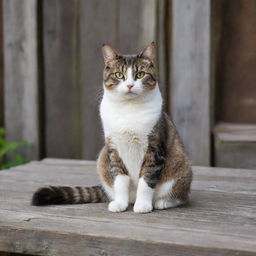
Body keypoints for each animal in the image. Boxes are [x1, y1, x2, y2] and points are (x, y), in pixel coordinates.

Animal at [32, 43, 192, 213]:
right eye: (119, 75)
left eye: (140, 74)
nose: (130, 85)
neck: (128, 108)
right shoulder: (113, 147)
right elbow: (119, 179)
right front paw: (119, 204)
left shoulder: (154, 148)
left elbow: (146, 179)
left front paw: (142, 205)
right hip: (102, 159)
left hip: (182, 165)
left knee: (181, 195)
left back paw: (163, 202)